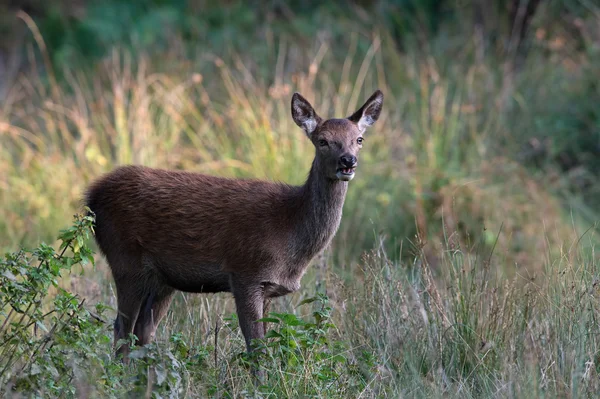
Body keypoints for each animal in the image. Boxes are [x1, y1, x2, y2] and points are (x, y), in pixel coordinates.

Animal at [85, 90, 384, 366]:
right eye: (322, 141)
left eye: (359, 139)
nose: (348, 161)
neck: (289, 228)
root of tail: (92, 197)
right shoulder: (245, 274)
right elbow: (257, 348)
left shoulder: (269, 287)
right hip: (125, 259)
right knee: (121, 329)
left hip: (162, 279)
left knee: (143, 331)